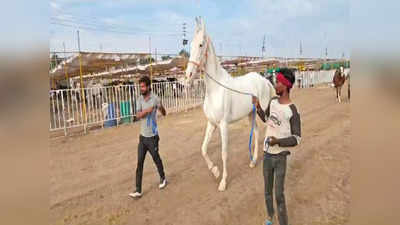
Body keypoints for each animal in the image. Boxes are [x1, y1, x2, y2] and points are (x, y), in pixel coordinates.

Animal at [185, 16, 276, 191]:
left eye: (201, 44)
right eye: (190, 45)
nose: (188, 76)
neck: (216, 89)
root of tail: (264, 79)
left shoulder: (223, 125)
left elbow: (224, 153)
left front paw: (223, 182)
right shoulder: (211, 124)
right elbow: (203, 149)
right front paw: (214, 171)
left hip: (264, 110)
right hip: (251, 113)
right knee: (256, 132)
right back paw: (253, 161)